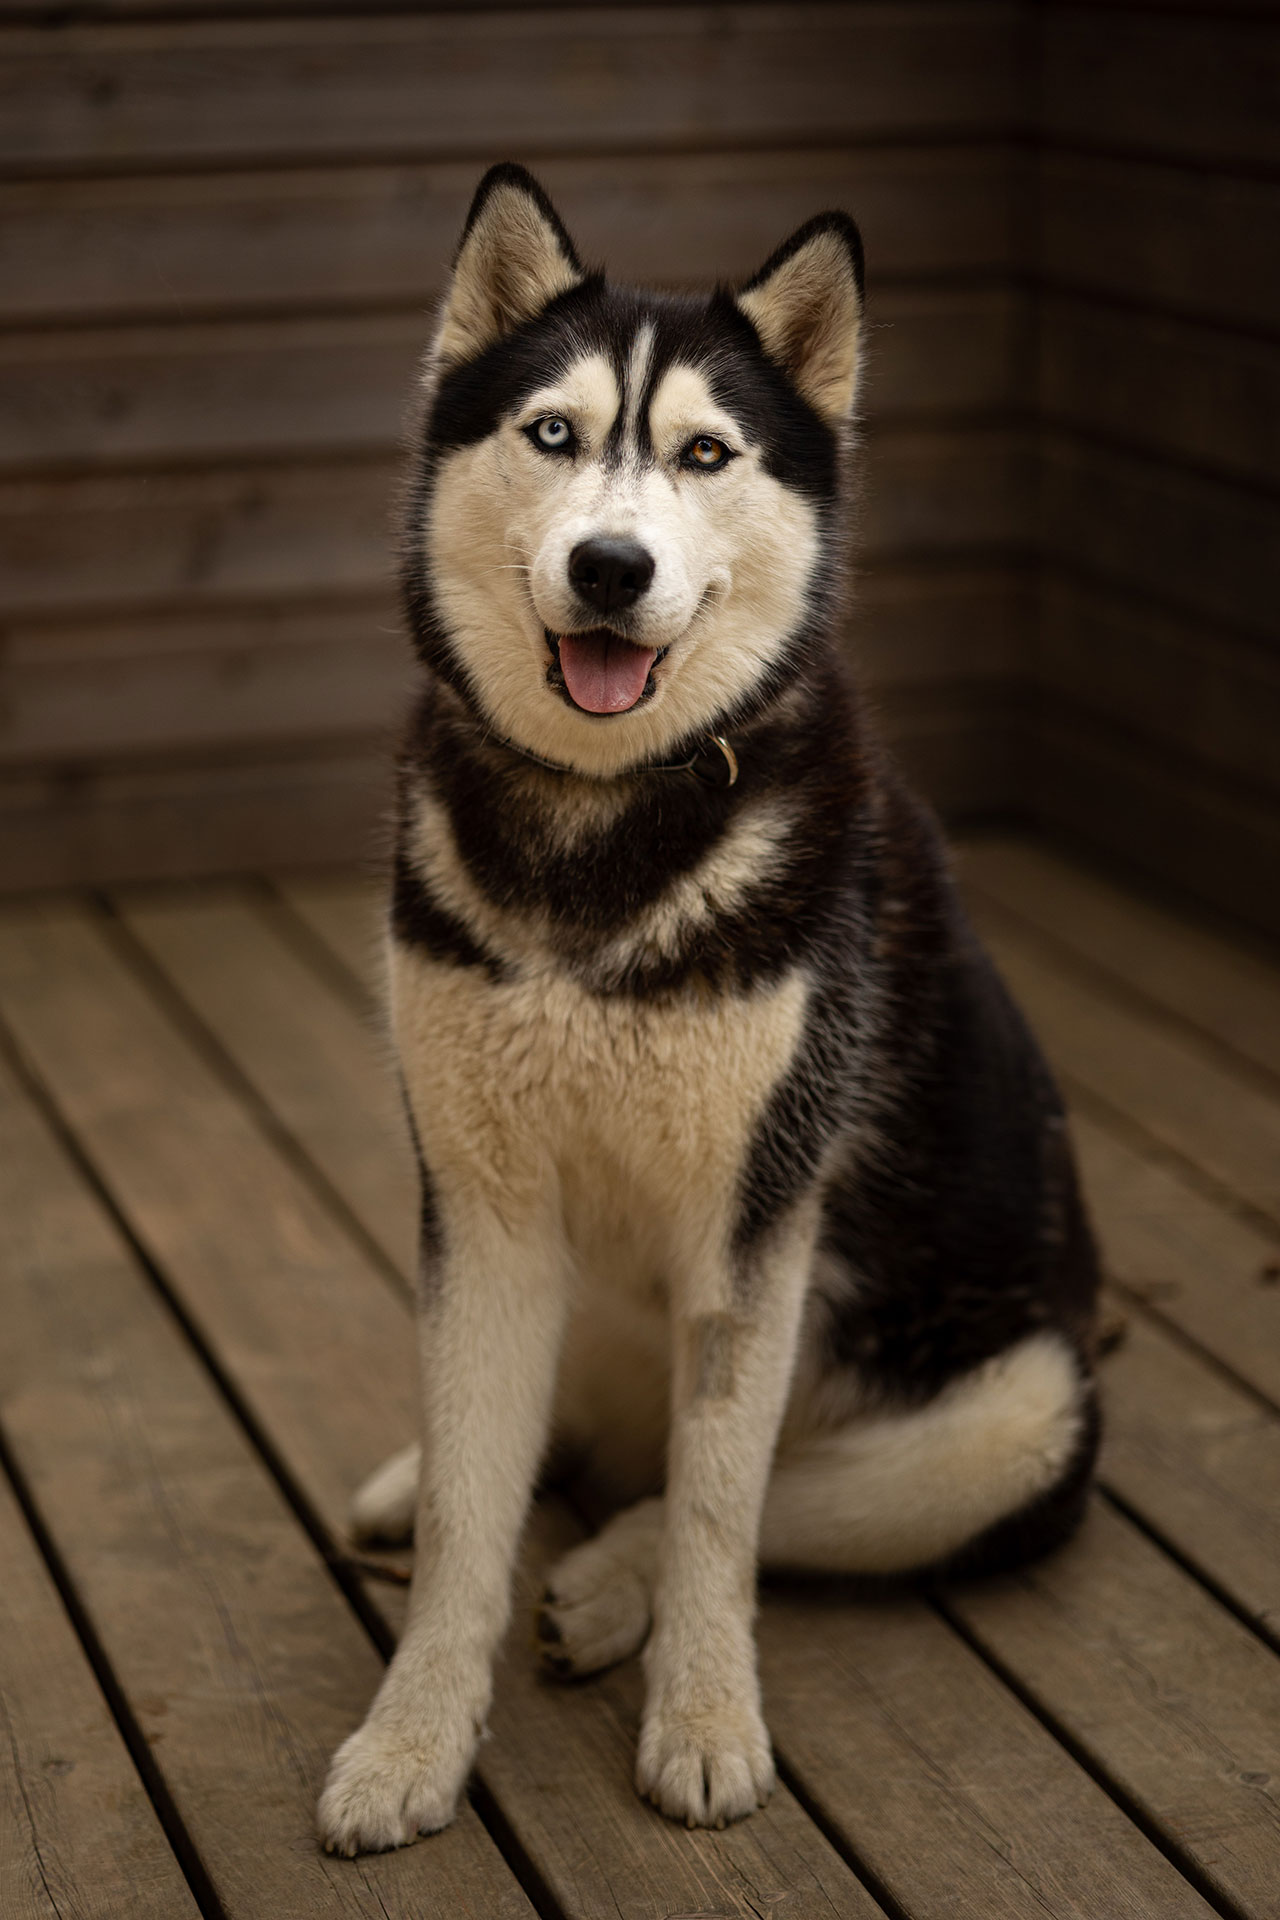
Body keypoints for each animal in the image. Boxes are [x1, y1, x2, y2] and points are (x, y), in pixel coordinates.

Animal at [318, 168, 1105, 1858]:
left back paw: (613, 1581)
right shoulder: (481, 1207)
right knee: (554, 1445)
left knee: (743, 1494)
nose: (611, 567)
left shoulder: (758, 1223)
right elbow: (476, 1511)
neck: (600, 830)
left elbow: (720, 1510)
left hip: (1022, 1417)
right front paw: (412, 1740)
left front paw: (701, 1716)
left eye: (704, 454)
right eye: (552, 433)